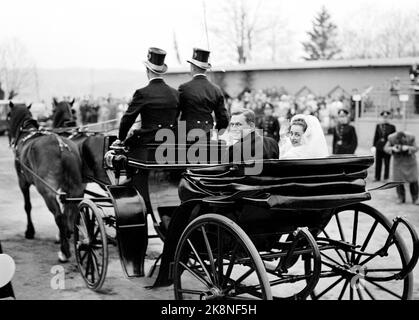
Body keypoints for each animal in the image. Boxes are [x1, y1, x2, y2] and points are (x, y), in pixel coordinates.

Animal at [8, 102, 84, 262]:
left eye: (8, 115)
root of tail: (62, 146)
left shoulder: (22, 182)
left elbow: (27, 206)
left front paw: (29, 231)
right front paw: (66, 233)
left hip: (46, 191)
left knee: (59, 216)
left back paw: (64, 251)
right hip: (76, 187)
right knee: (72, 210)